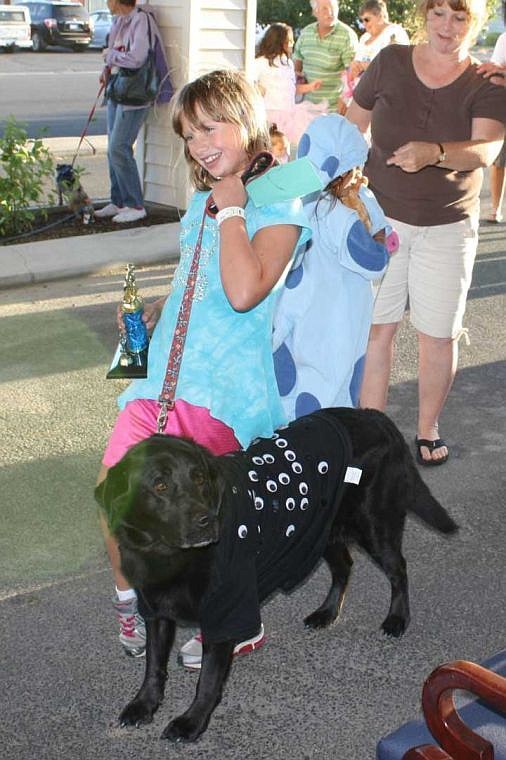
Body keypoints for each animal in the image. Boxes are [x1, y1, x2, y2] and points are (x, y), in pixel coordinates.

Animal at [95, 410, 458, 744]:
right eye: (159, 485)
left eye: (199, 479)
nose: (206, 521)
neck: (170, 555)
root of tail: (375, 416)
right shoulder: (155, 610)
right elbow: (154, 665)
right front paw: (144, 705)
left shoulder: (227, 609)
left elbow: (208, 679)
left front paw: (191, 722)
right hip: (320, 532)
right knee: (344, 566)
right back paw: (326, 613)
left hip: (373, 525)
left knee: (398, 569)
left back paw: (397, 618)